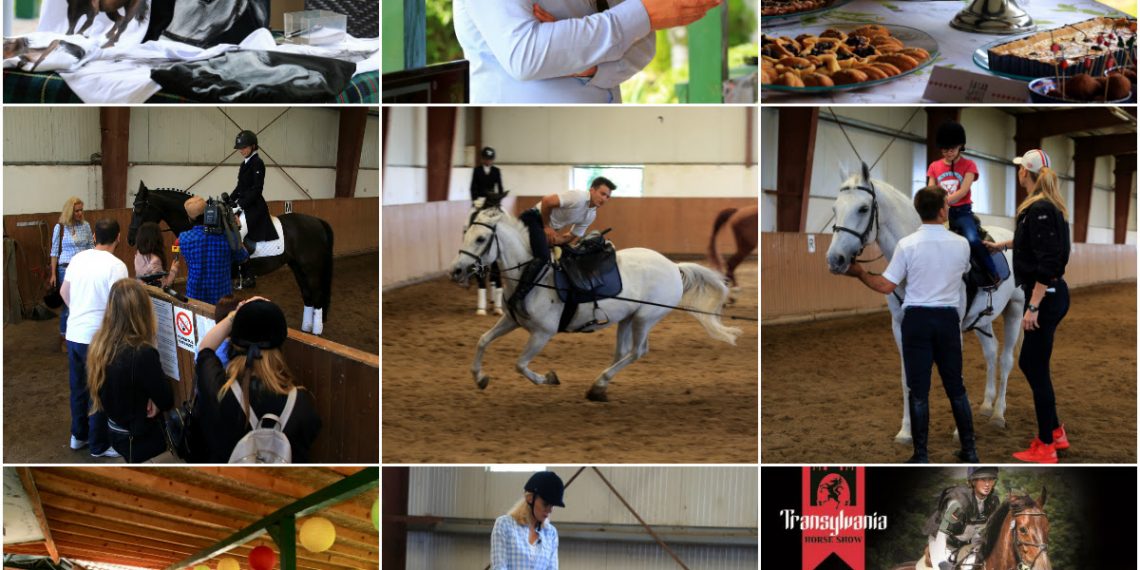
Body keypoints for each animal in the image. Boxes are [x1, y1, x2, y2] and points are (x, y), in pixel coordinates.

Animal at [127, 182, 335, 335]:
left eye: (139, 210)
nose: (130, 239)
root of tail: (317, 222)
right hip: (298, 267)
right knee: (307, 295)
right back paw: (306, 328)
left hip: (311, 269)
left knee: (316, 295)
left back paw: (316, 331)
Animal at [449, 204, 741, 402]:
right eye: (464, 234)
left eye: (481, 239)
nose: (456, 271)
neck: (531, 274)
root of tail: (674, 266)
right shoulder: (511, 320)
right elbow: (483, 341)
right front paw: (480, 377)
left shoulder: (542, 333)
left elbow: (520, 364)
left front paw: (548, 378)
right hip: (627, 318)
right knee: (623, 353)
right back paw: (600, 386)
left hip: (645, 318)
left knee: (638, 352)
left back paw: (599, 384)